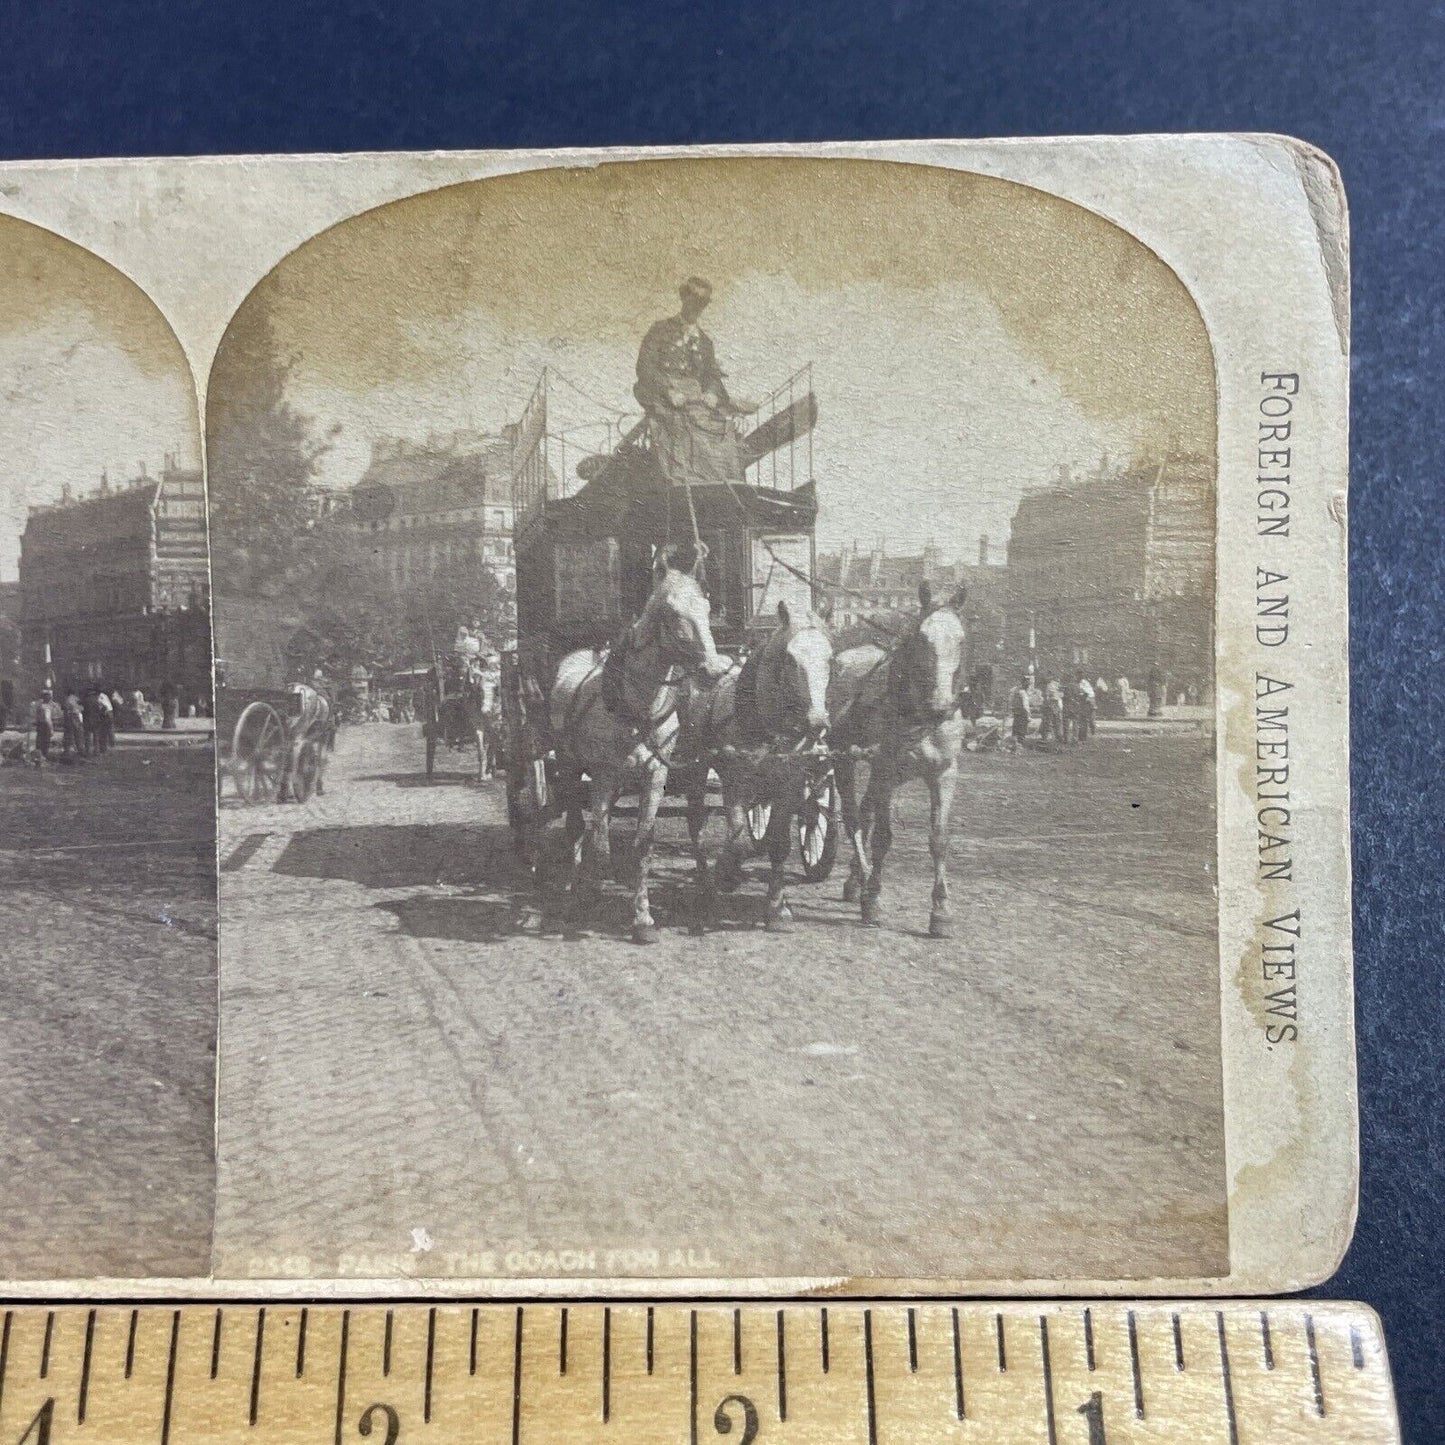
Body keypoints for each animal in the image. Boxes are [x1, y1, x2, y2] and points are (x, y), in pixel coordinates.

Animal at [543, 546, 728, 942]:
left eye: (707, 608)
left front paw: (642, 917)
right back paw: (573, 885)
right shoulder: (603, 774)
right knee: (576, 826)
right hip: (569, 766)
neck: (634, 707)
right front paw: (592, 895)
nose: (713, 670)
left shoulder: (654, 775)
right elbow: (601, 843)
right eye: (670, 612)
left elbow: (642, 844)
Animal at [679, 604, 838, 930]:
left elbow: (778, 844)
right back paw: (706, 881)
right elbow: (739, 839)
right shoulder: (735, 782)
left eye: (830, 659)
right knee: (696, 823)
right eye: (789, 659)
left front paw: (776, 907)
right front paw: (727, 872)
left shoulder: (789, 784)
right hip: (695, 768)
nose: (817, 722)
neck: (760, 722)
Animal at [832, 583, 965, 936]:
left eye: (961, 639)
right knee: (853, 818)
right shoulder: (886, 771)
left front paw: (941, 910)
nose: (941, 706)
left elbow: (939, 839)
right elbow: (882, 839)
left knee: (865, 812)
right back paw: (863, 880)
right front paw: (874, 900)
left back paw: (856, 879)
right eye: (922, 638)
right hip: (845, 761)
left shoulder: (944, 774)